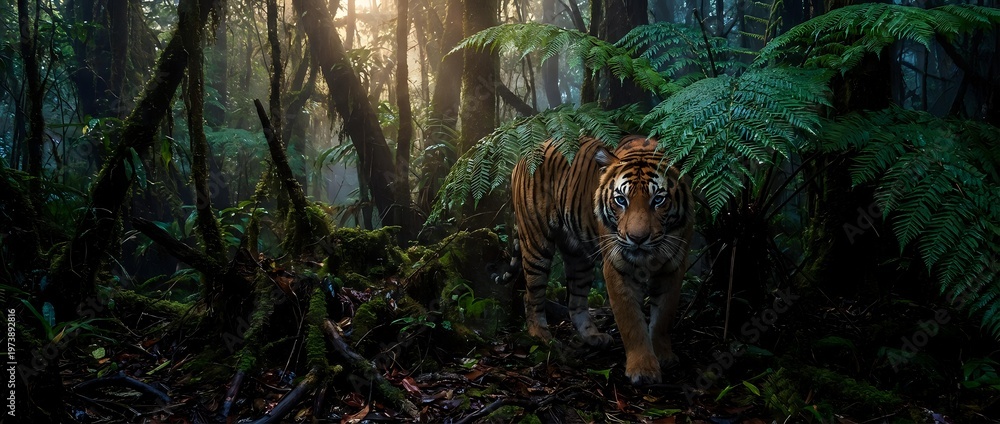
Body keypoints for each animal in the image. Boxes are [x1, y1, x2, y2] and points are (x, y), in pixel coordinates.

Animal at [506, 135, 694, 385]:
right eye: (621, 200)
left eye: (658, 200)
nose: (637, 239)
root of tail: (528, 150)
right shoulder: (617, 267)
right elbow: (630, 320)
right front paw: (643, 369)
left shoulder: (674, 267)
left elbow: (664, 316)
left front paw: (663, 355)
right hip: (537, 242)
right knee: (531, 295)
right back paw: (543, 338)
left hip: (578, 258)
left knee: (575, 301)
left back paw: (592, 336)